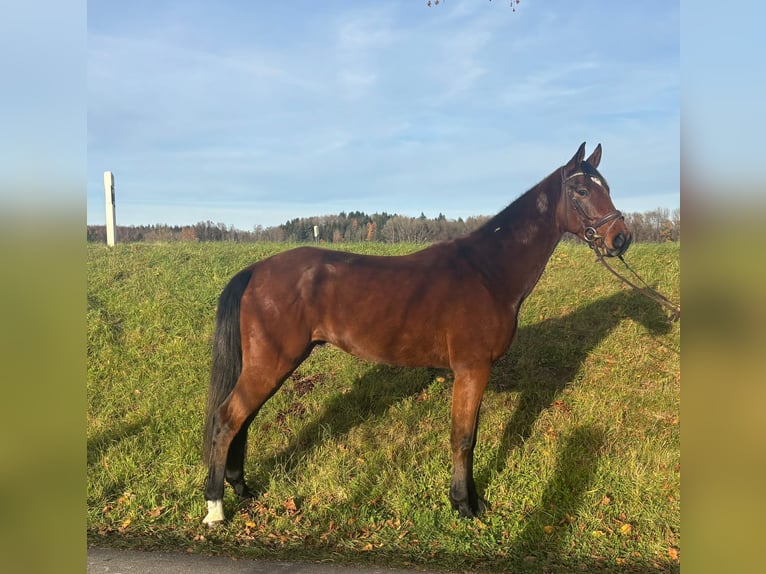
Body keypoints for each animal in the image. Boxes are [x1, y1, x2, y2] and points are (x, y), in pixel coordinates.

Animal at [201, 142, 632, 525]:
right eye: (581, 190)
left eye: (608, 187)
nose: (621, 238)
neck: (487, 271)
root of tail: (255, 270)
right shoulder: (472, 369)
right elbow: (463, 438)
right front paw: (463, 506)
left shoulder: (475, 372)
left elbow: (470, 436)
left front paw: (473, 500)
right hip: (272, 362)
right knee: (228, 419)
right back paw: (216, 508)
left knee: (242, 420)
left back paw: (242, 489)